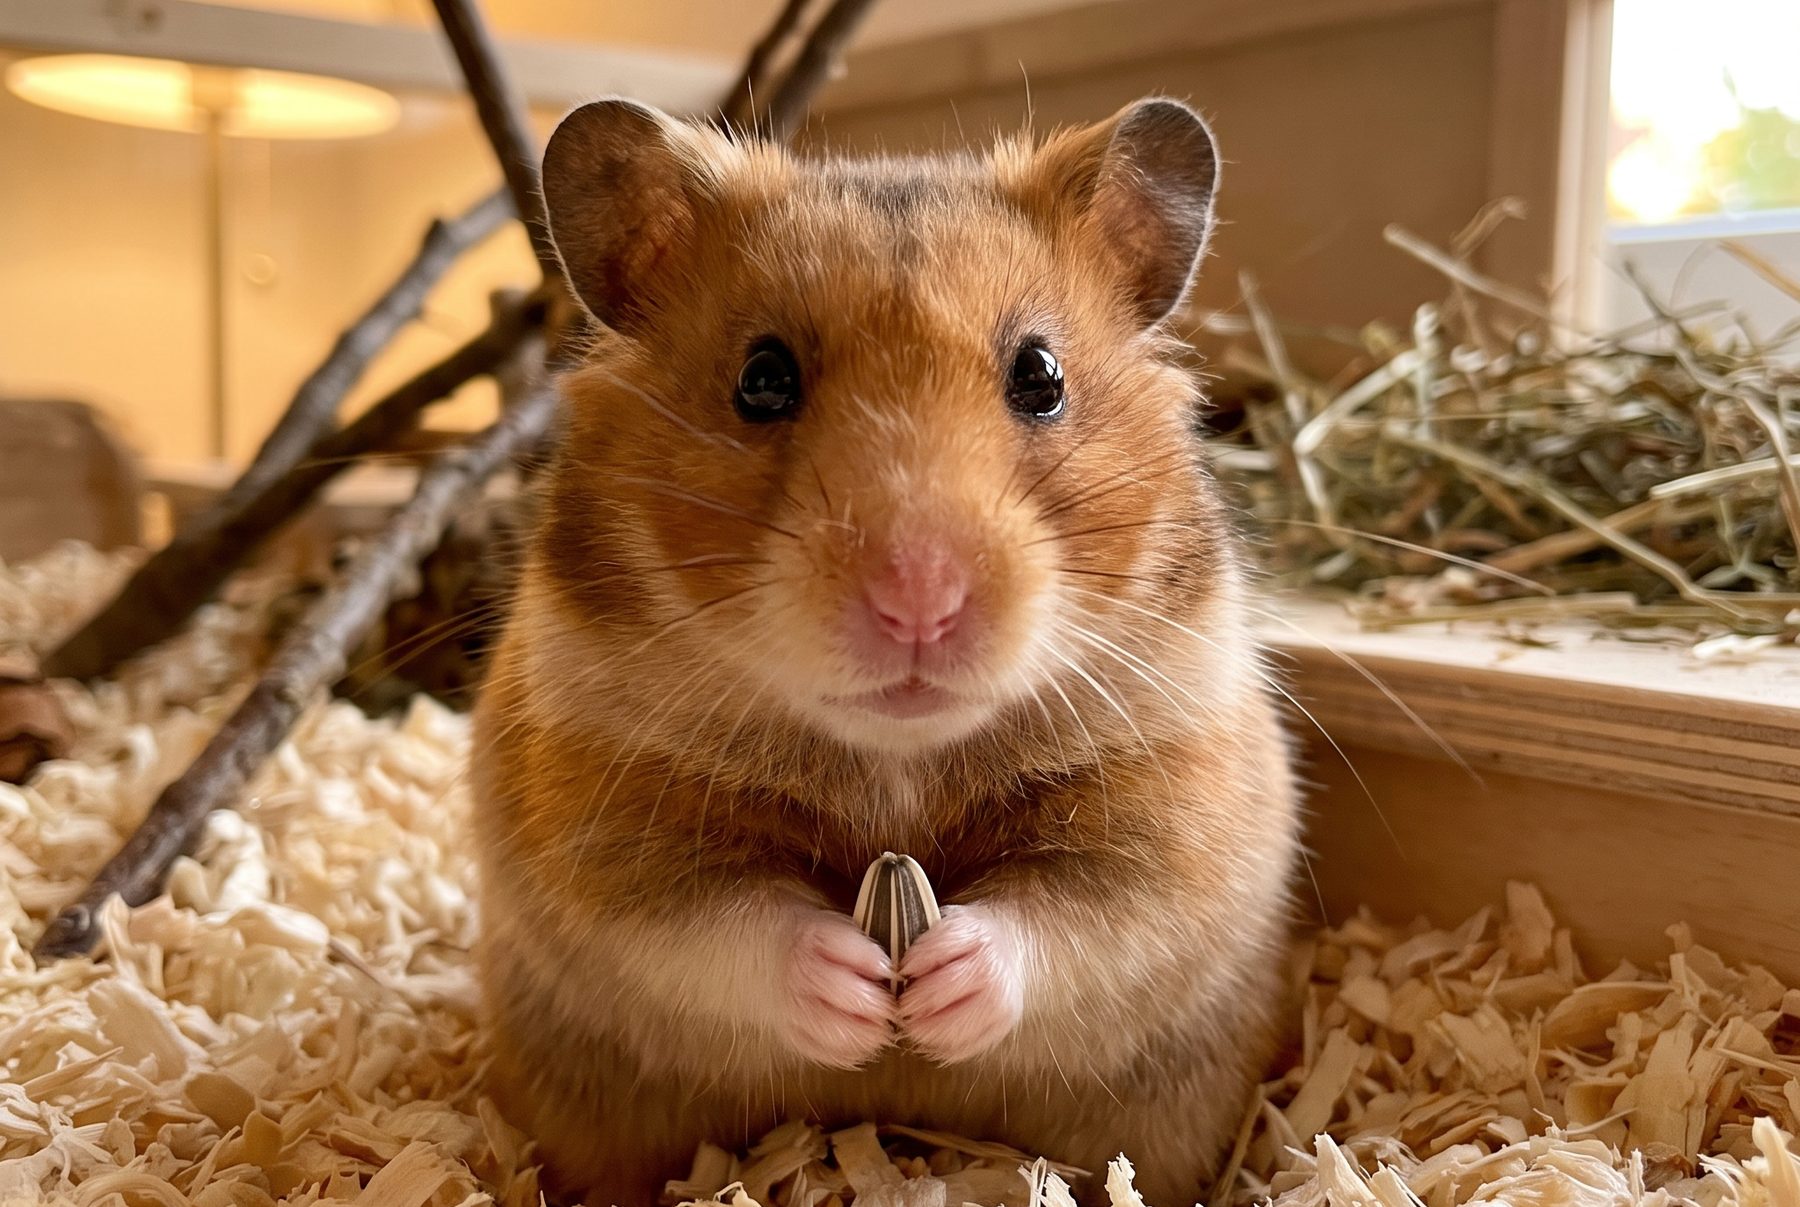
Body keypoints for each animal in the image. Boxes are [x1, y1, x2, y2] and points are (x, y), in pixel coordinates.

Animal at [472, 95, 1300, 1207]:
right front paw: (864, 993)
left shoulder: (1177, 800)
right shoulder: (605, 829)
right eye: (761, 379)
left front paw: (933, 986)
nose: (919, 598)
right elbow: (725, 927)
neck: (897, 755)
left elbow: (1075, 916)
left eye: (1041, 377)